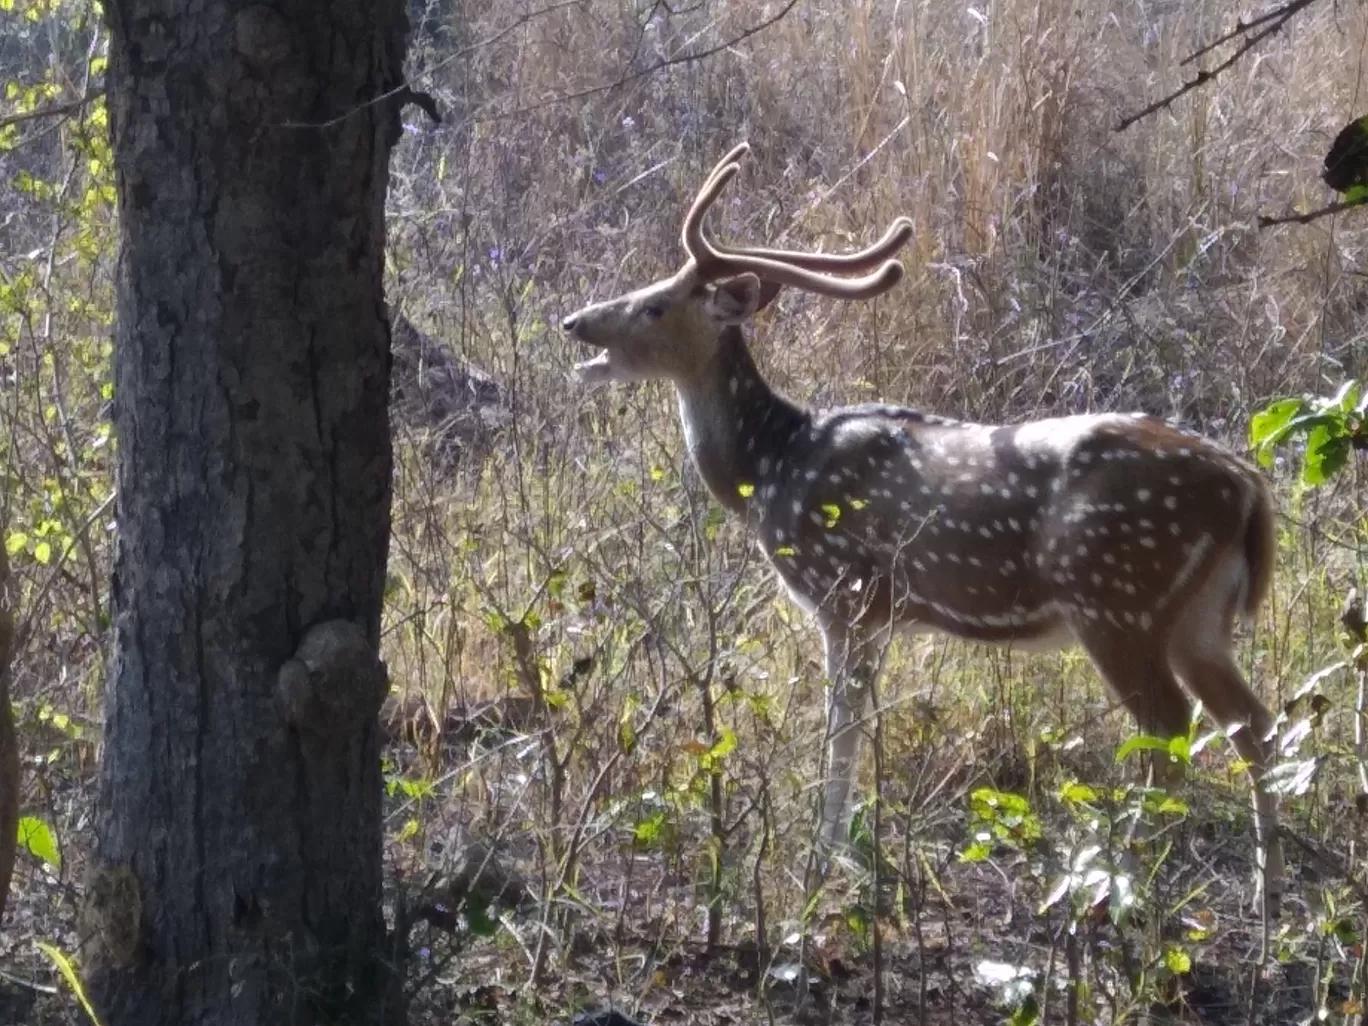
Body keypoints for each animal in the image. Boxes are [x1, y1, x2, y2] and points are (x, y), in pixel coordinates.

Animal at [560, 142, 1285, 924]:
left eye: (655, 304)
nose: (574, 323)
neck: (771, 466)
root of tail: (1247, 489)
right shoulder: (881, 613)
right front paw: (843, 854)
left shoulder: (844, 594)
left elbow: (840, 732)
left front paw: (821, 863)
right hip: (1199, 617)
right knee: (1252, 724)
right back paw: (1265, 900)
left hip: (1118, 597)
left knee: (1169, 732)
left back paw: (1126, 892)